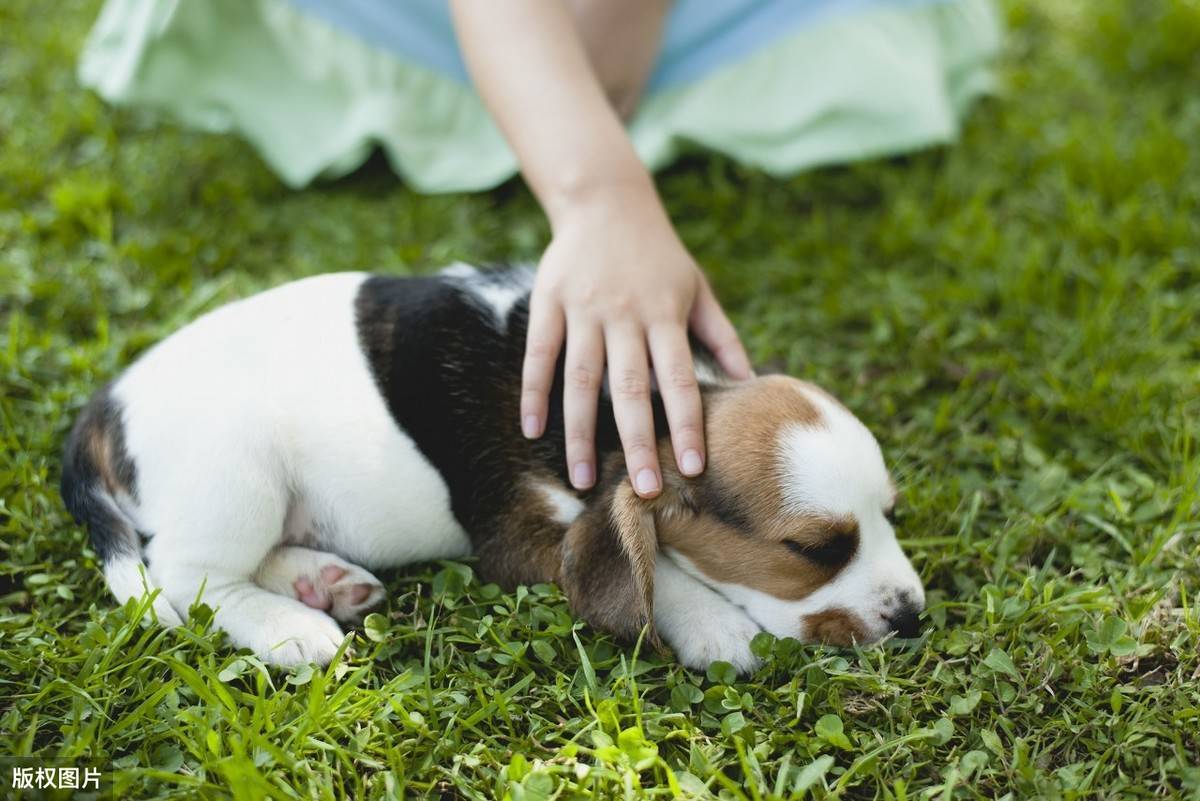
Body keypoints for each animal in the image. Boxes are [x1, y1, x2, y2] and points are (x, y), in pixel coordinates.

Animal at [63, 266, 926, 671]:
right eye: (815, 549)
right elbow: (655, 568)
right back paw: (291, 628)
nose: (914, 614)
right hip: (237, 471)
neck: (637, 408)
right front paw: (714, 623)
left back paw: (322, 581)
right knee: (187, 578)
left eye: (892, 514)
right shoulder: (518, 535)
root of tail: (107, 402)